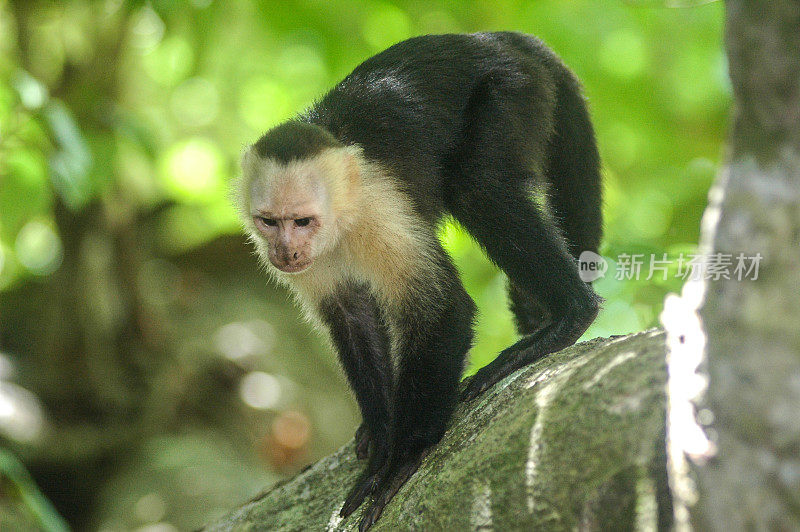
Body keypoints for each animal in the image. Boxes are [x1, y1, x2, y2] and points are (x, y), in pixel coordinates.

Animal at [234, 32, 604, 532]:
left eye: (303, 221)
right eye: (269, 222)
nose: (284, 252)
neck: (342, 221)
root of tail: (497, 38)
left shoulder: (378, 211)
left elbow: (442, 306)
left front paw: (402, 458)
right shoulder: (315, 264)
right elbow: (352, 318)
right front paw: (382, 432)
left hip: (512, 88)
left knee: (478, 183)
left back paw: (568, 318)